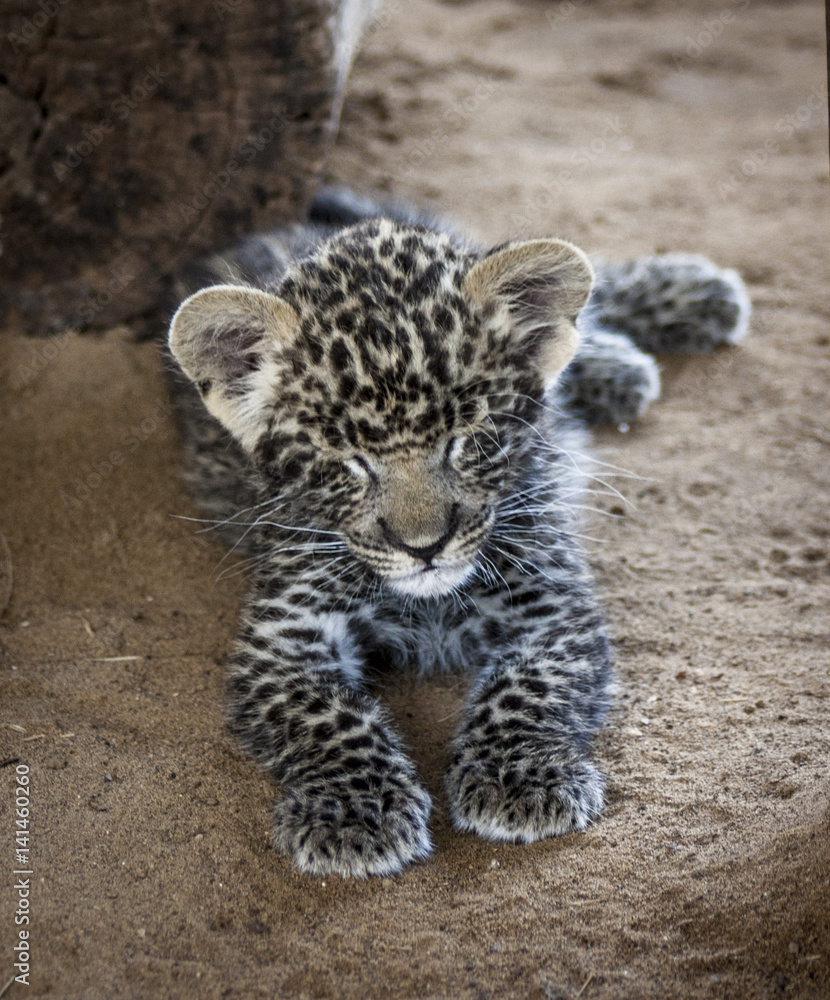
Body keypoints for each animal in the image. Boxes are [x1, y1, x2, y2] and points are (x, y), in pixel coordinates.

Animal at [165, 188, 750, 877]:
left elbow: (529, 687)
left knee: (590, 293)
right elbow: (325, 715)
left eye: (468, 440)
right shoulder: (284, 633)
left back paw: (684, 299)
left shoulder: (549, 601)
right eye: (347, 462)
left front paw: (518, 778)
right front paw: (354, 810)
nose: (424, 547)